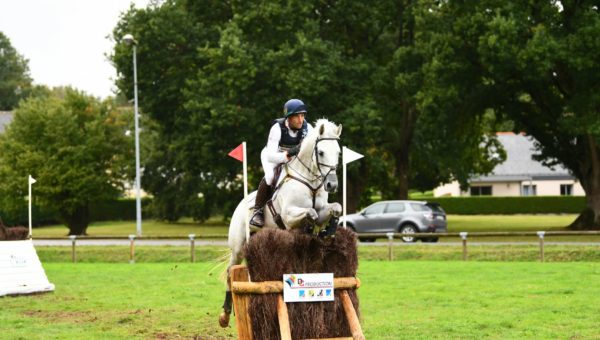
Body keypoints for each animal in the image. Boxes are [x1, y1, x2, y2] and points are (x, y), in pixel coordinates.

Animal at [219, 117, 342, 326]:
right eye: (321, 152)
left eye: (339, 153)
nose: (331, 185)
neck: (310, 180)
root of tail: (241, 204)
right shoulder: (289, 215)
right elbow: (310, 213)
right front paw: (312, 229)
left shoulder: (323, 209)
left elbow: (336, 208)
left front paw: (327, 231)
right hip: (237, 247)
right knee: (230, 272)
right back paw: (225, 314)